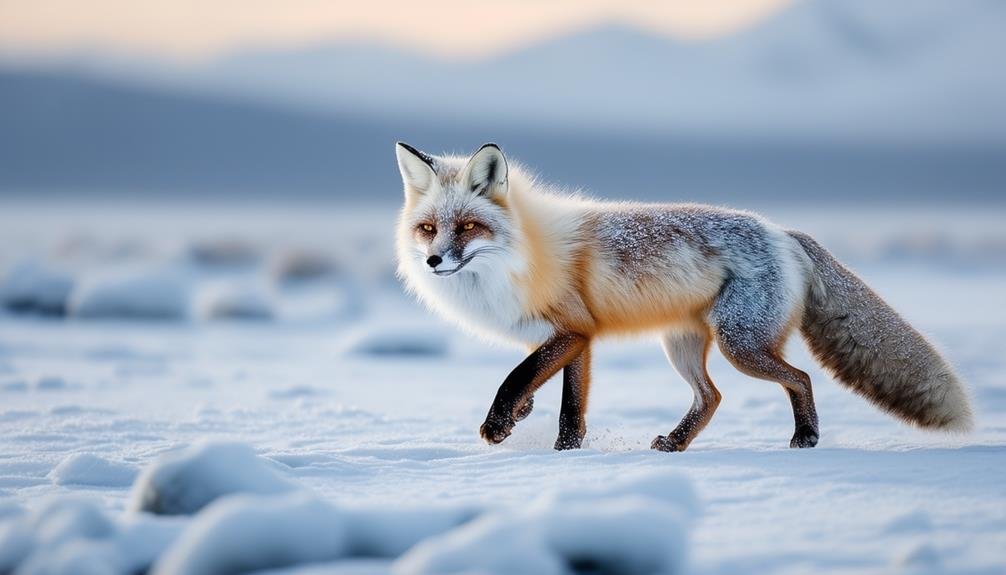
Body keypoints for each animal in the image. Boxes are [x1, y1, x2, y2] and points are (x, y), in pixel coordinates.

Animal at [392, 141, 973, 452]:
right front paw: (560, 448)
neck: (523, 254)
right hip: (682, 346)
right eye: (428, 229)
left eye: (468, 227)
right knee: (711, 397)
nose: (434, 261)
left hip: (741, 346)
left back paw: (805, 438)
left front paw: (502, 426)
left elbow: (520, 376)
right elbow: (565, 401)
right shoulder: (577, 339)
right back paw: (675, 443)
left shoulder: (574, 329)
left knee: (800, 377)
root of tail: (785, 231)